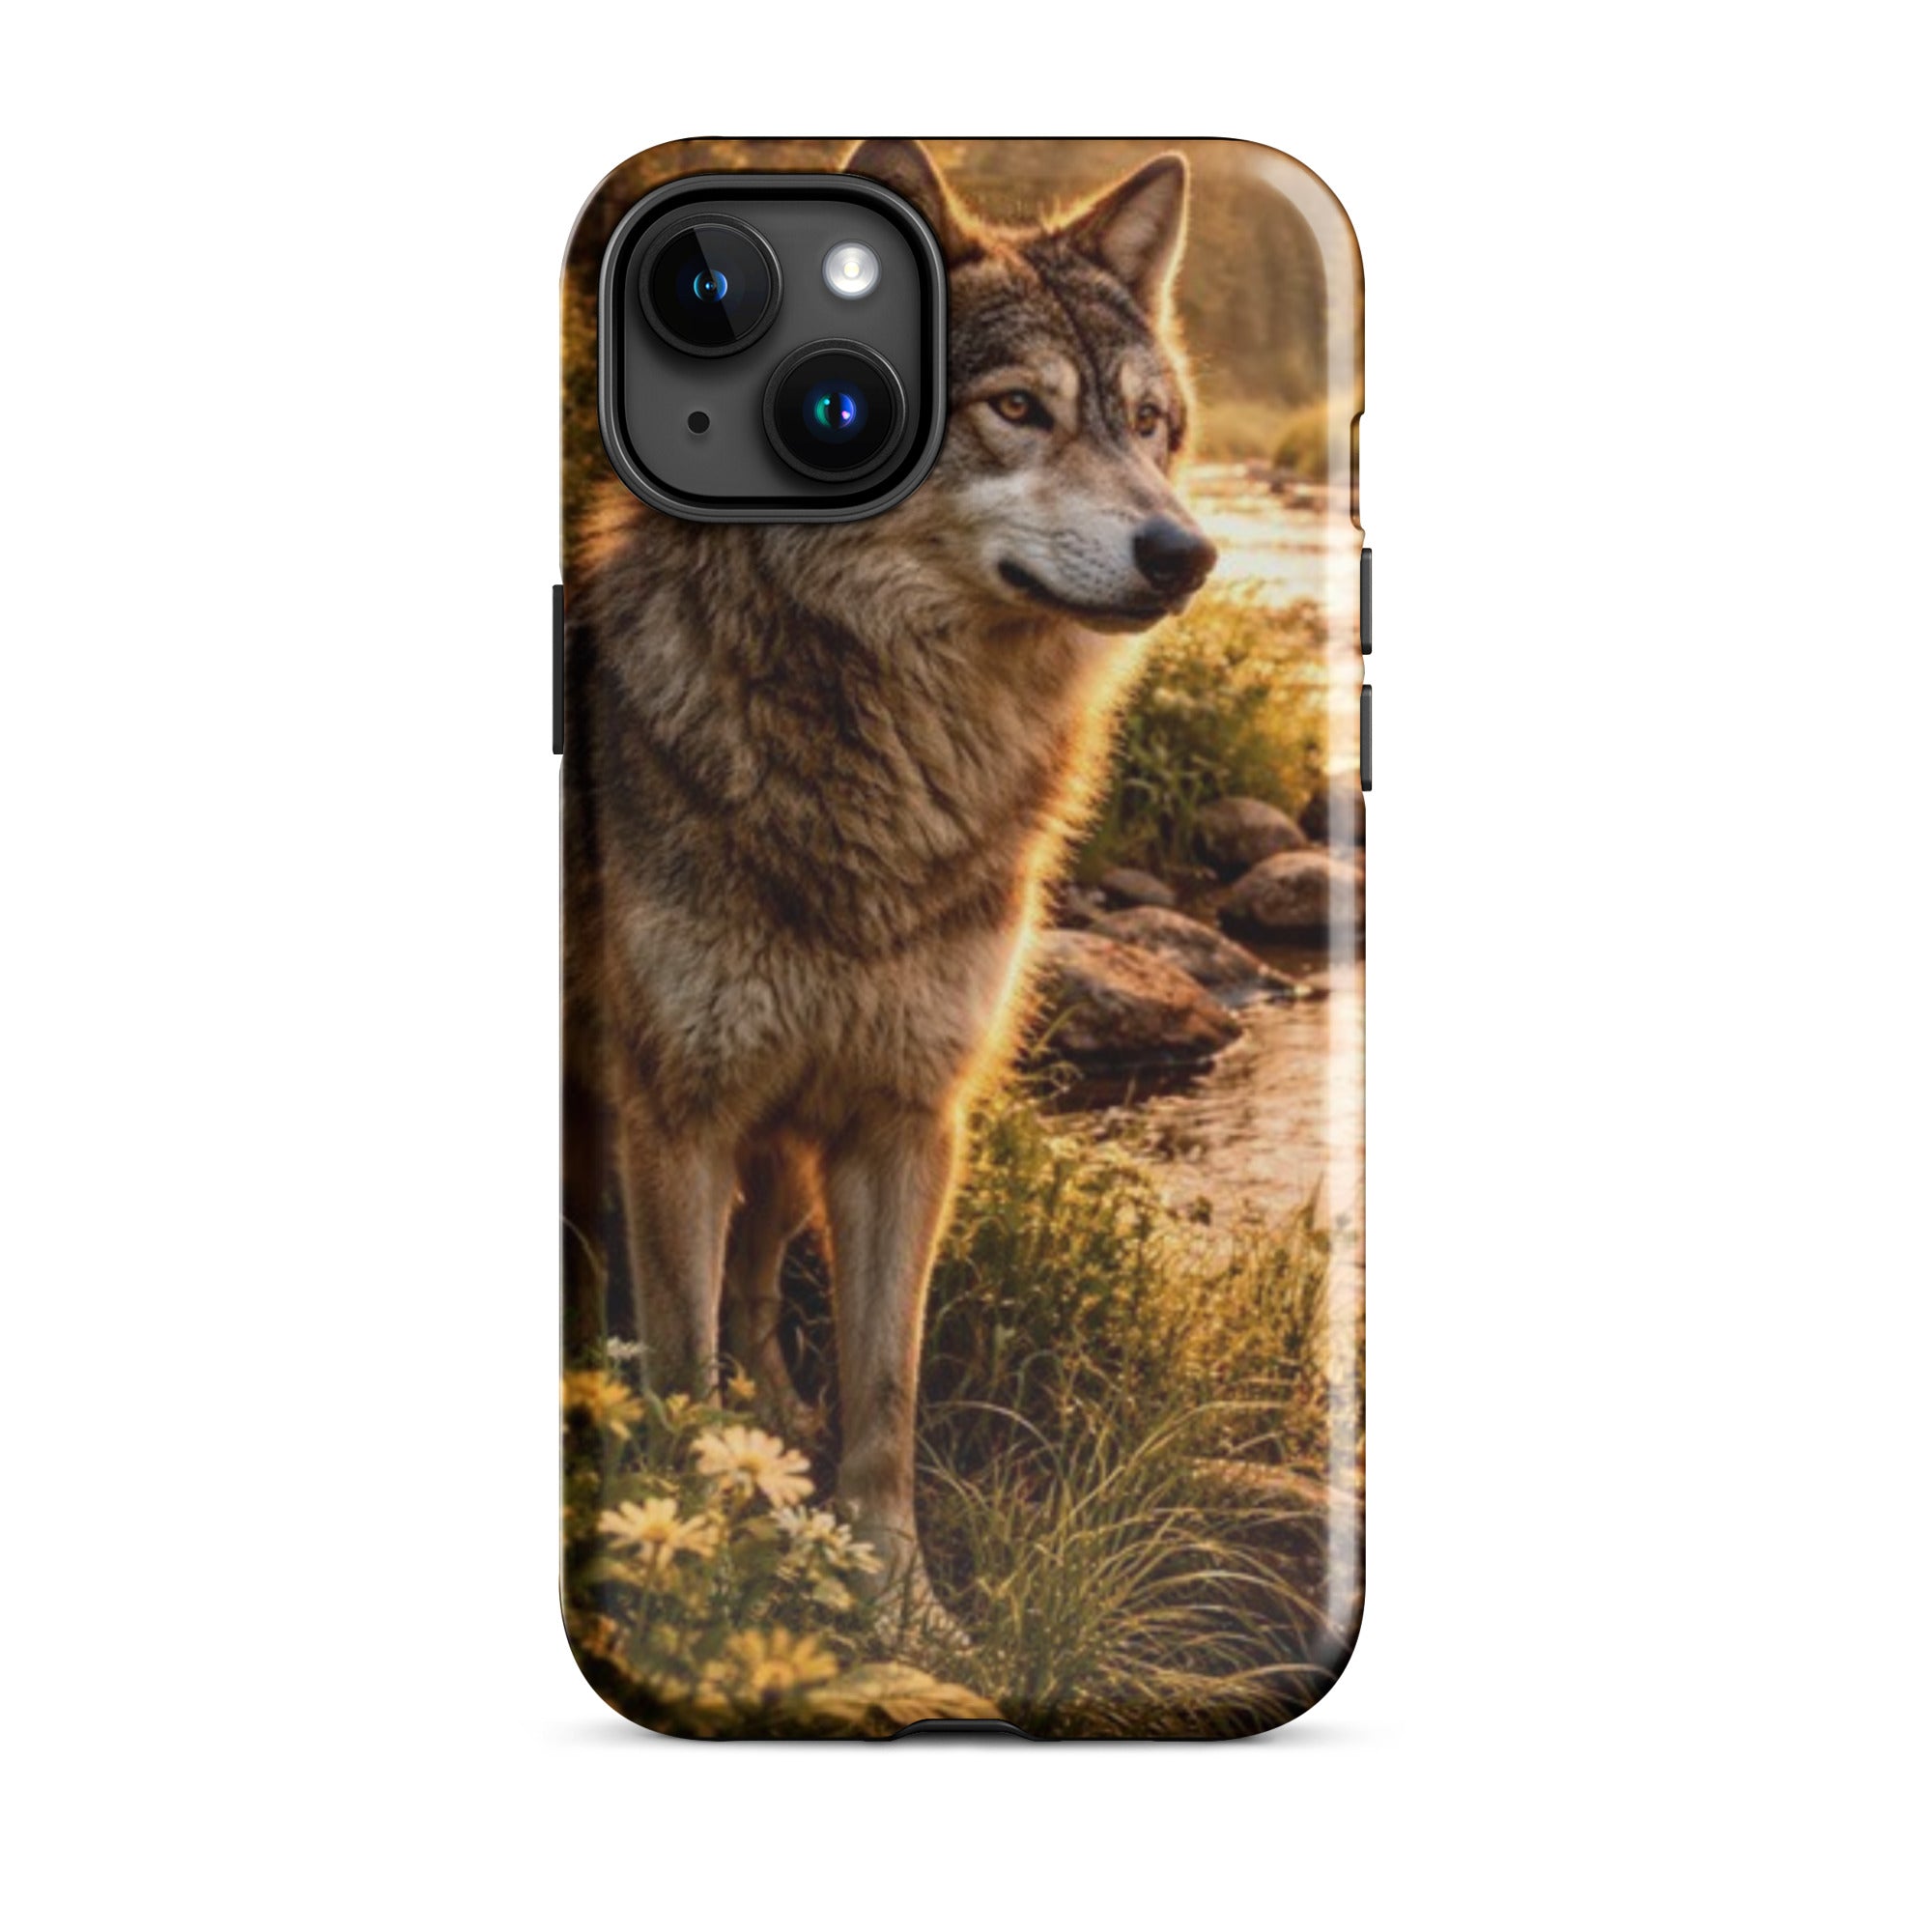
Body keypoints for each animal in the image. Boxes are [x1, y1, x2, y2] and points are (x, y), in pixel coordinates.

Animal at [564, 139, 1217, 1618]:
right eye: (1018, 408)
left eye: (1150, 424)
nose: (1186, 553)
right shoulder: (675, 1115)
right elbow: (678, 1366)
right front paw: (695, 1575)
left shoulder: (906, 1120)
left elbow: (885, 1393)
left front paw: (898, 1600)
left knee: (760, 1302)